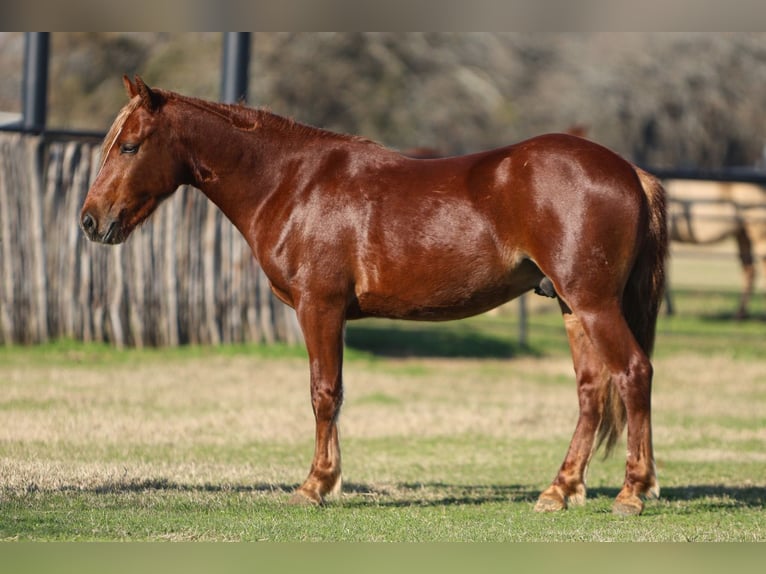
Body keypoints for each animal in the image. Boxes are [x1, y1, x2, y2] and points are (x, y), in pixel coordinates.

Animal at [78, 76, 664, 516]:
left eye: (129, 145)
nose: (90, 221)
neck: (294, 183)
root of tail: (630, 172)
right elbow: (331, 393)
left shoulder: (320, 306)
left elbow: (324, 393)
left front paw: (316, 484)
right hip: (571, 306)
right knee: (591, 391)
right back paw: (559, 490)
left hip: (593, 304)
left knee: (634, 373)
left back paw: (633, 492)